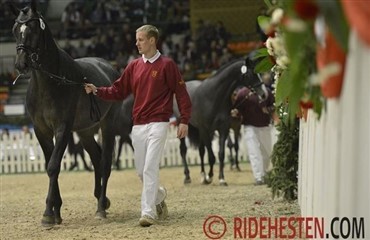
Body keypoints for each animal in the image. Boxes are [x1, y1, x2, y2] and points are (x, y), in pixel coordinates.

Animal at [10, 0, 119, 225]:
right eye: (16, 29)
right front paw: (56, 211)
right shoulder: (41, 130)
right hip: (86, 131)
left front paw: (48, 213)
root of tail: (108, 67)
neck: (50, 81)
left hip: (108, 125)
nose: (21, 64)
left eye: (33, 28)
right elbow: (49, 164)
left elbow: (53, 165)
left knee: (105, 163)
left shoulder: (63, 128)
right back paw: (101, 200)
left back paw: (101, 208)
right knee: (96, 159)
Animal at [176, 56, 266, 186]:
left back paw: (202, 176)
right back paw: (187, 177)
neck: (213, 96)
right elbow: (212, 156)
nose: (264, 94)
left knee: (201, 150)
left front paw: (221, 178)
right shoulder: (206, 129)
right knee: (183, 150)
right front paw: (210, 176)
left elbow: (221, 154)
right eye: (251, 74)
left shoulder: (223, 129)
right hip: (183, 126)